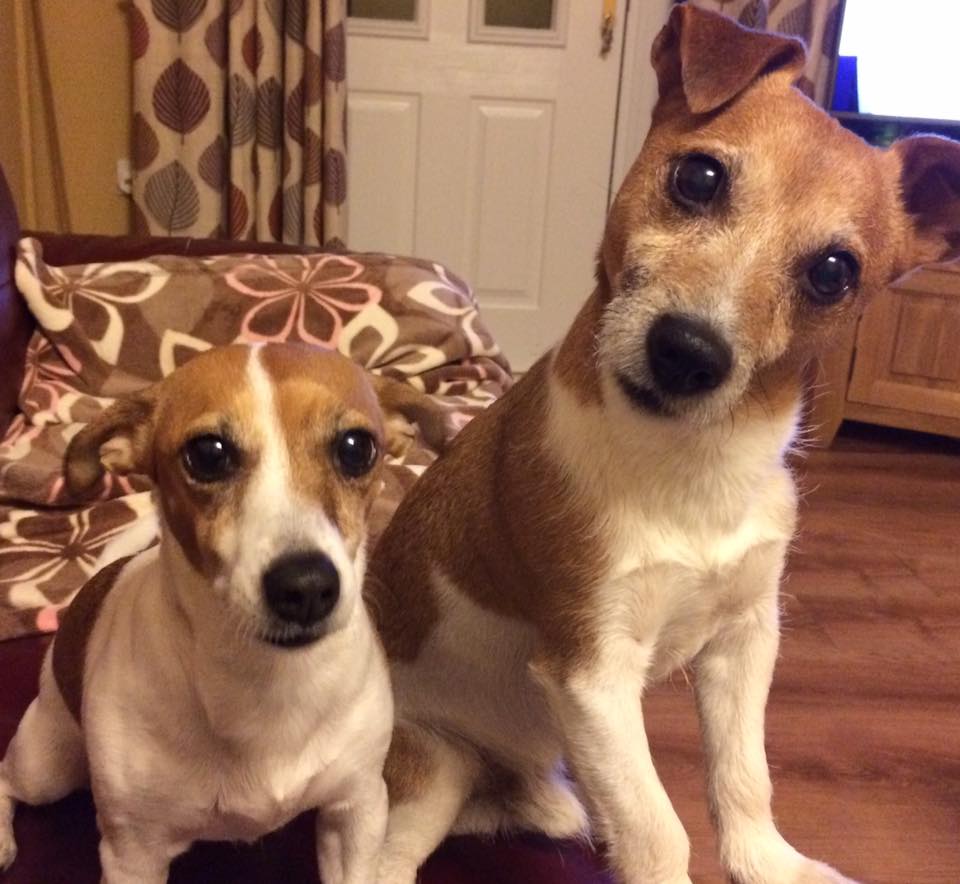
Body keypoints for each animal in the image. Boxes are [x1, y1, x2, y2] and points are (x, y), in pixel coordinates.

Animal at [0, 344, 446, 884]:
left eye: (357, 447)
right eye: (208, 454)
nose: (306, 586)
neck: (266, 682)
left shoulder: (357, 811)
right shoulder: (133, 855)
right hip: (48, 762)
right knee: (6, 778)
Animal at [366, 6, 960, 884]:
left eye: (832, 271)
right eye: (700, 178)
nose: (687, 352)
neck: (694, 465)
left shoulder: (745, 640)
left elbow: (743, 777)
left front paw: (769, 864)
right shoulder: (592, 671)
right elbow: (657, 828)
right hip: (431, 771)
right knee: (382, 857)